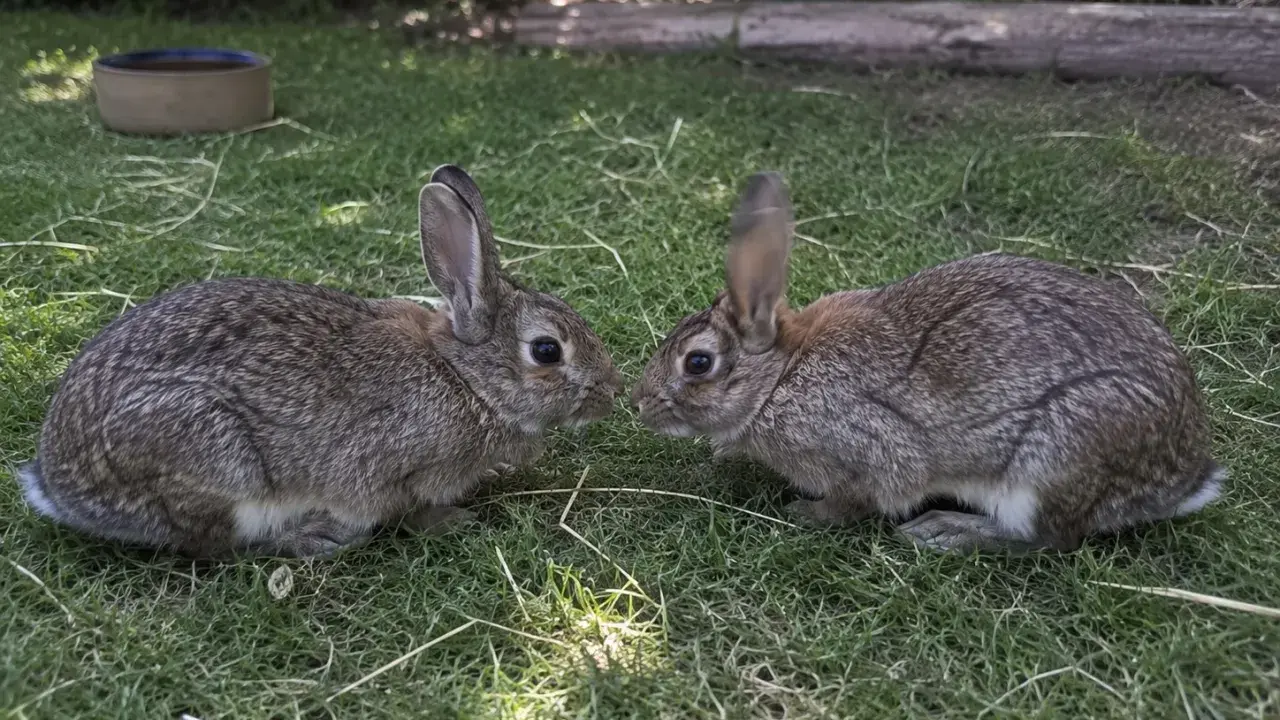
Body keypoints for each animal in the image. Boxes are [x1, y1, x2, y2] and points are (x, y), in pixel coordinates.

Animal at [18, 164, 623, 559]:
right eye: (546, 350)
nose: (612, 390)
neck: (466, 378)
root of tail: (58, 488)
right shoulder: (398, 468)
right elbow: (408, 508)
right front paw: (453, 520)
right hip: (214, 457)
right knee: (213, 545)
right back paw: (313, 539)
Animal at [630, 171, 1224, 553]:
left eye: (698, 363)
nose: (639, 404)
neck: (781, 377)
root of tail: (1185, 479)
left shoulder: (865, 455)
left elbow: (856, 502)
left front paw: (805, 514)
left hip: (1053, 458)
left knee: (1051, 539)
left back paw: (946, 531)